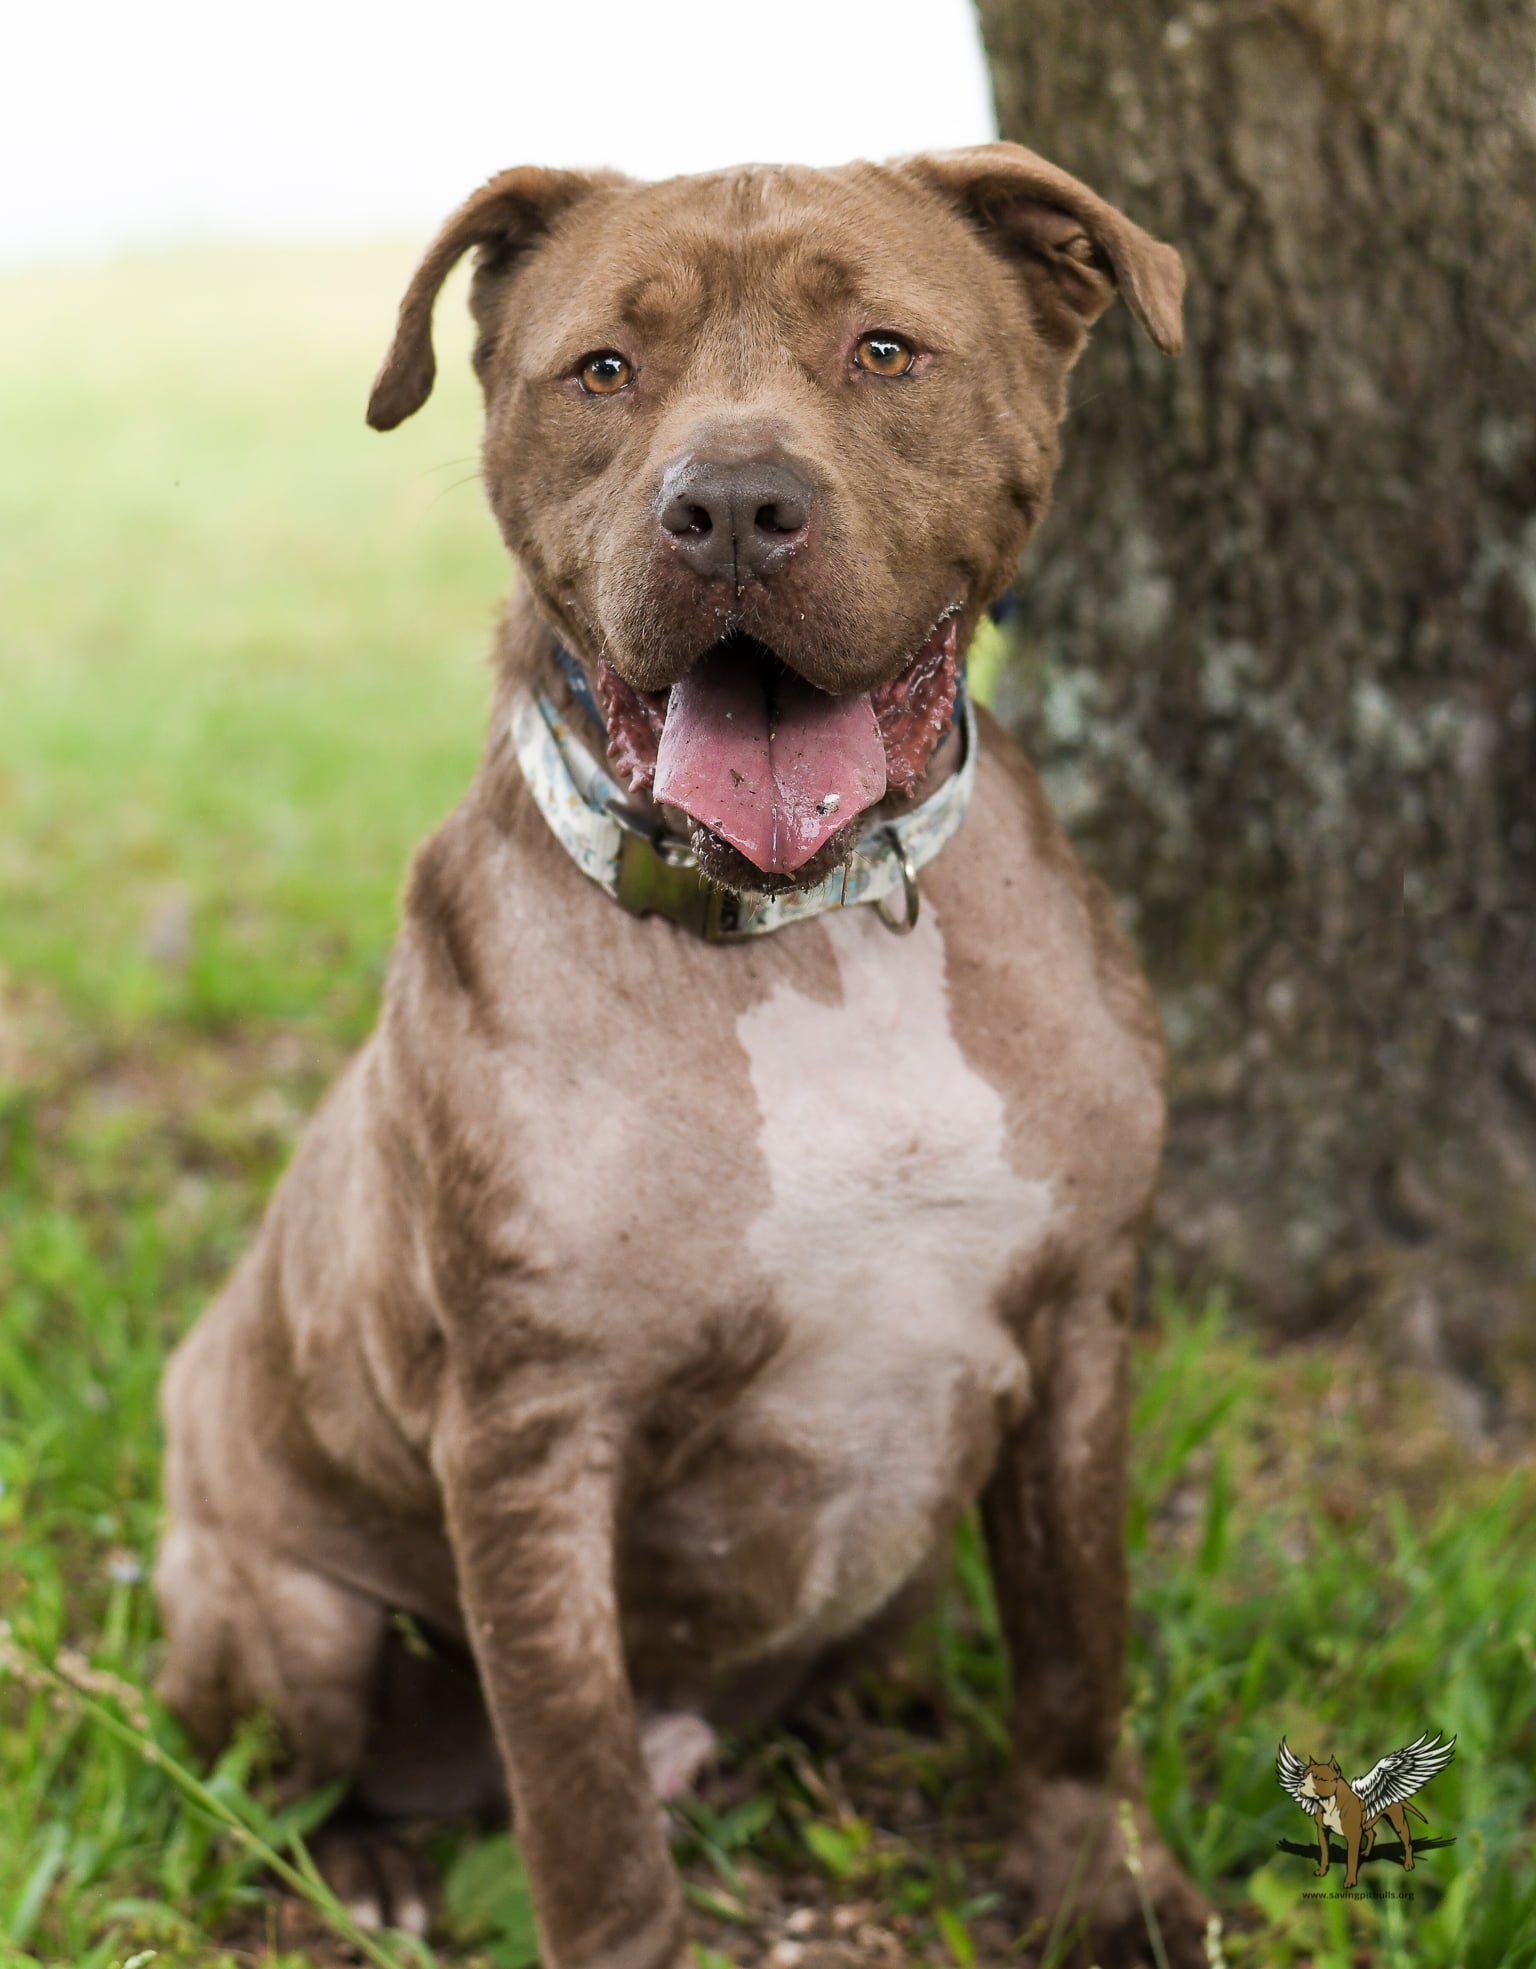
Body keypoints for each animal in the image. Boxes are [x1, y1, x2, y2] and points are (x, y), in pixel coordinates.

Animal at [155, 145, 1213, 1961]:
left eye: (882, 350)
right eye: (603, 370)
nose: (729, 506)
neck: (810, 934)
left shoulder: (1080, 1321)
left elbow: (1078, 1646)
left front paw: (1100, 1882)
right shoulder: (532, 1432)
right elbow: (580, 1786)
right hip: (281, 1608)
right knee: (312, 1754)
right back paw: (369, 1861)